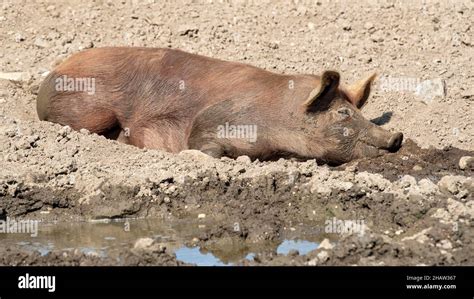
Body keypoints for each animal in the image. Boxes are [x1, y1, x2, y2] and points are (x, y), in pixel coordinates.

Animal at [36, 47, 404, 165]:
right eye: (343, 113)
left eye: (361, 112)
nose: (397, 136)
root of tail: (51, 74)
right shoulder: (213, 122)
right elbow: (200, 145)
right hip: (92, 110)